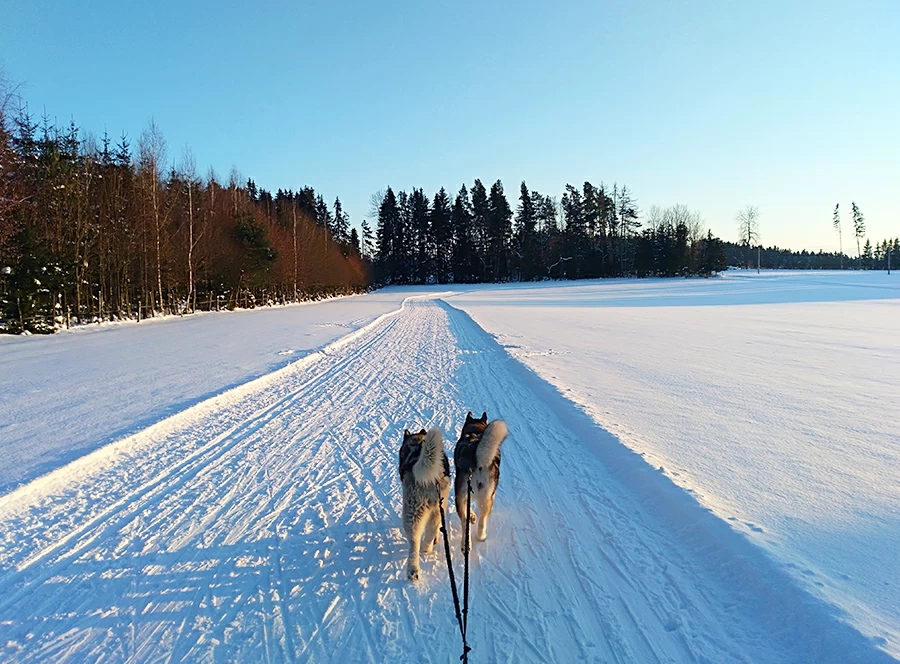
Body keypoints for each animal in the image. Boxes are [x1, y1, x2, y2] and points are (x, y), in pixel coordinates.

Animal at [454, 410, 510, 548]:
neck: (475, 431)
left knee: (465, 521)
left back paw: (466, 543)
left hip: (463, 496)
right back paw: (480, 536)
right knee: (482, 520)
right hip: (487, 497)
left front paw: (472, 516)